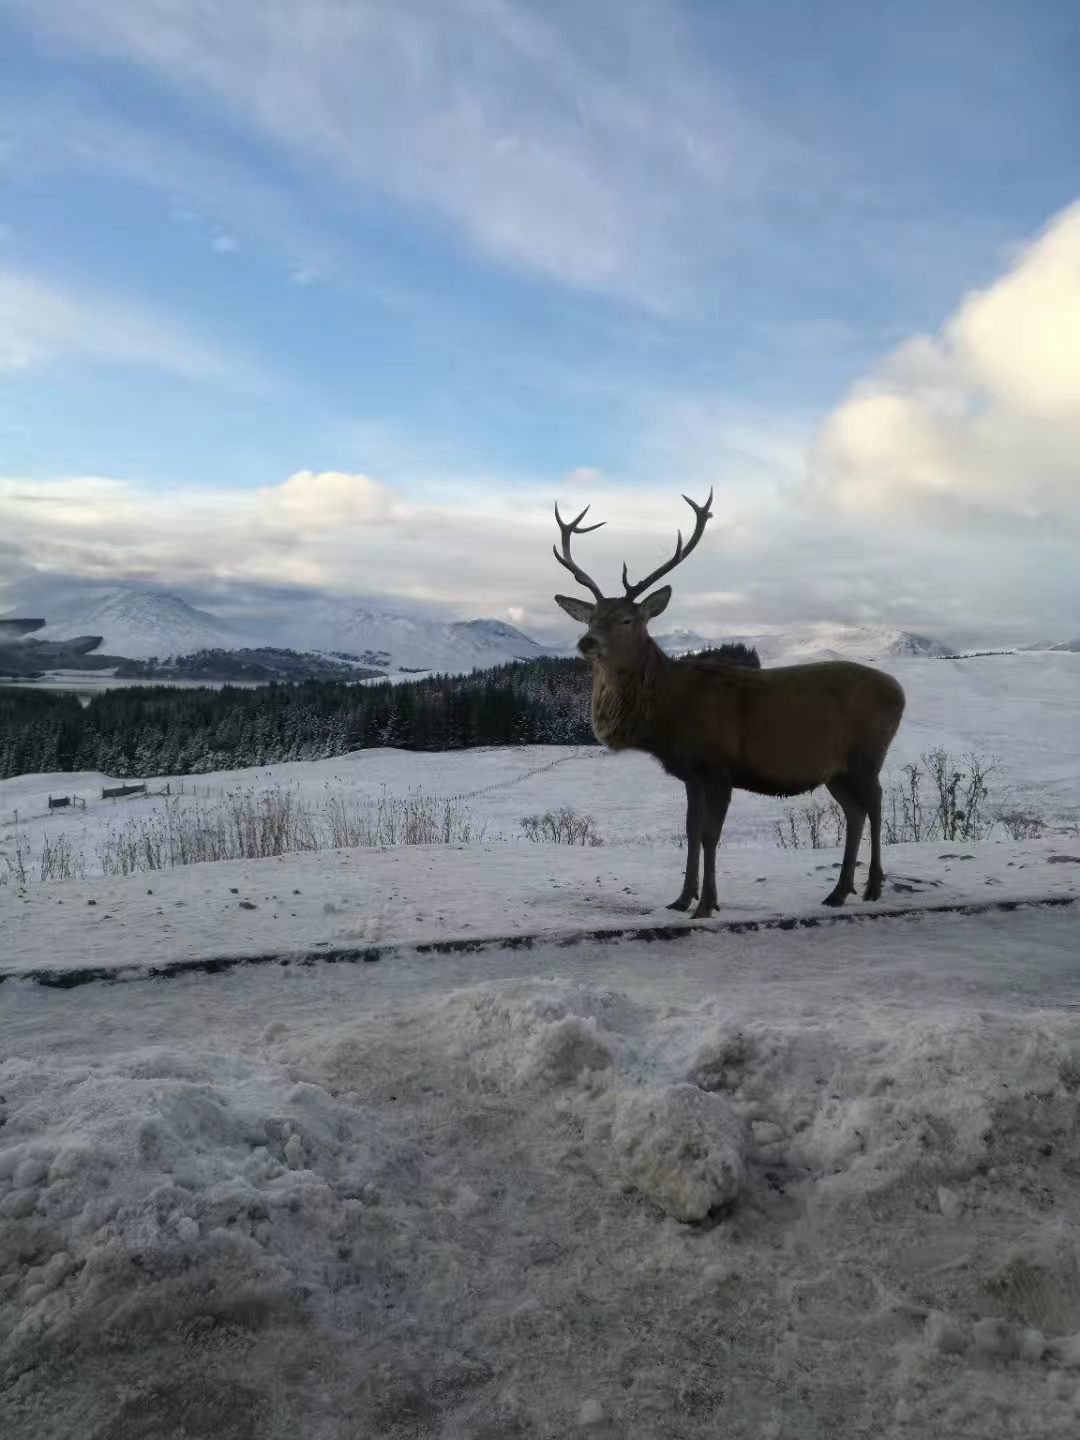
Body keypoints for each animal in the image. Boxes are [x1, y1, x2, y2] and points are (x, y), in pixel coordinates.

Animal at [552, 489, 910, 915]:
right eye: (590, 619)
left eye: (626, 619)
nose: (586, 642)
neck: (670, 717)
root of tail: (899, 691)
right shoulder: (691, 774)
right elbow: (690, 832)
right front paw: (682, 899)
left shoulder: (719, 767)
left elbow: (710, 835)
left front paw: (707, 904)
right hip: (835, 770)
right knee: (855, 813)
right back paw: (838, 892)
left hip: (866, 756)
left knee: (876, 803)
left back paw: (872, 886)